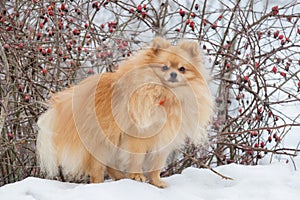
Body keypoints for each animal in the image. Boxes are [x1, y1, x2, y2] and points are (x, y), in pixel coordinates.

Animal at [36, 37, 213, 188]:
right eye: (164, 67)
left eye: (182, 69)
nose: (174, 74)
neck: (166, 94)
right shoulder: (137, 138)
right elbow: (136, 159)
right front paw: (137, 176)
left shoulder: (163, 141)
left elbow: (156, 165)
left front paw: (156, 182)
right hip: (100, 144)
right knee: (97, 170)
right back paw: (100, 184)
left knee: (110, 166)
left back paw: (120, 177)